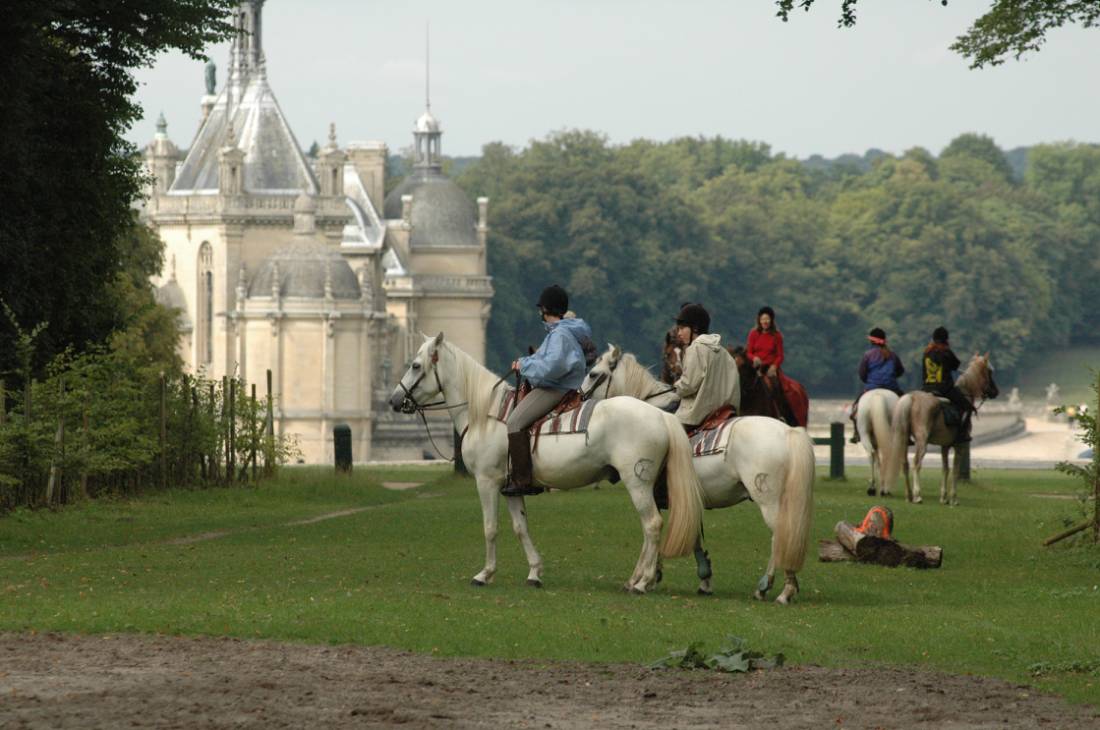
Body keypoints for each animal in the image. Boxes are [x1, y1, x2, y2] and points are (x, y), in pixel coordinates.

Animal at [391, 334, 704, 598]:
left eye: (415, 365)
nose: (395, 400)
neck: (485, 415)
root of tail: (661, 415)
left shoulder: (487, 482)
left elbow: (490, 527)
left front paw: (485, 574)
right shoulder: (511, 488)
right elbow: (520, 528)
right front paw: (534, 573)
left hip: (637, 482)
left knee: (652, 524)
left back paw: (641, 583)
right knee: (650, 528)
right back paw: (637, 579)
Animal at [580, 347, 814, 602]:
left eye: (593, 374)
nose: (579, 396)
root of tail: (788, 431)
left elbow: (654, 531)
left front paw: (646, 578)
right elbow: (693, 538)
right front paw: (703, 579)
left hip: (768, 500)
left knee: (780, 536)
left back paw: (775, 588)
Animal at [880, 354, 1003, 505]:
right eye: (989, 372)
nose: (995, 391)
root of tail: (912, 397)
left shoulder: (944, 446)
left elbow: (945, 469)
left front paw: (943, 497)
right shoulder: (960, 446)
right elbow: (955, 470)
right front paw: (953, 498)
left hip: (903, 439)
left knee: (905, 463)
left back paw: (908, 495)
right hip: (922, 442)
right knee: (916, 463)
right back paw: (917, 495)